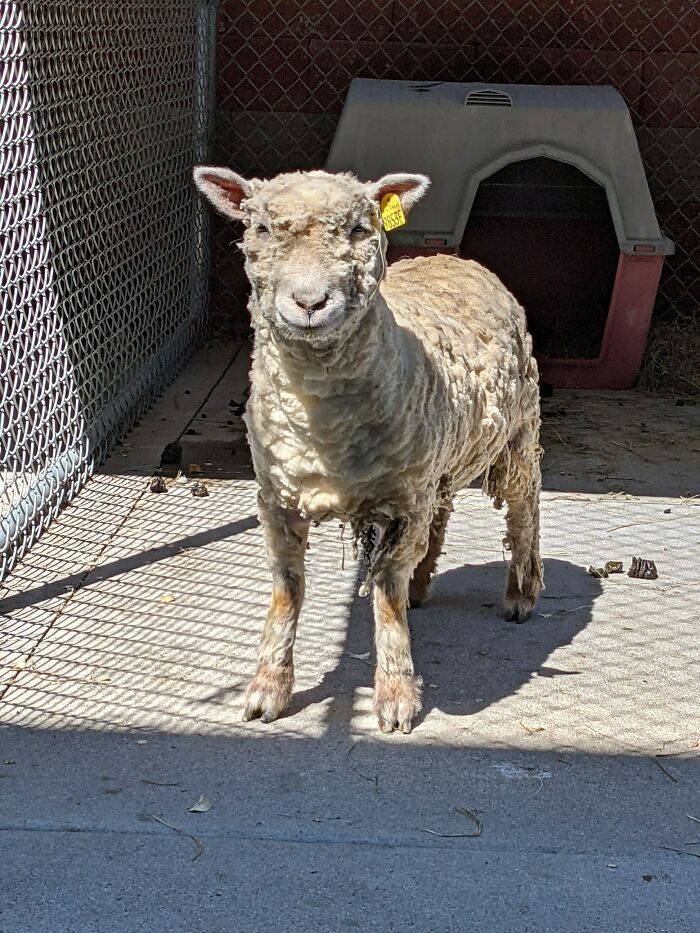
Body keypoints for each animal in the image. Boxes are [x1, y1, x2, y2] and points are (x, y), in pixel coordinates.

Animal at [193, 166, 544, 734]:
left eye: (360, 229)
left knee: (524, 507)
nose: (309, 303)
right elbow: (287, 591)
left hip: (517, 432)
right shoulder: (278, 499)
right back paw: (425, 585)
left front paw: (396, 696)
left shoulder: (402, 506)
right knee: (442, 513)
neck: (325, 432)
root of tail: (456, 258)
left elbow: (385, 597)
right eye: (262, 229)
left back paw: (521, 592)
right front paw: (267, 688)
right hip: (434, 467)